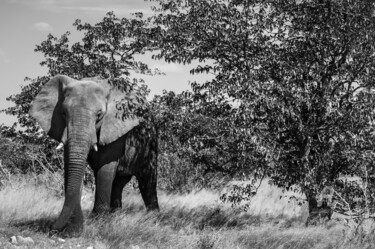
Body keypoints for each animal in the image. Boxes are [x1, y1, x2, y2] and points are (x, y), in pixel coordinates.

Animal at [29, 75, 159, 237]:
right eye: (63, 113)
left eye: (99, 115)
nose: (52, 229)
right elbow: (71, 168)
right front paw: (76, 227)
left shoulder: (115, 127)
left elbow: (104, 169)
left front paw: (99, 223)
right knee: (118, 183)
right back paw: (116, 216)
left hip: (149, 144)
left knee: (147, 181)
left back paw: (154, 219)